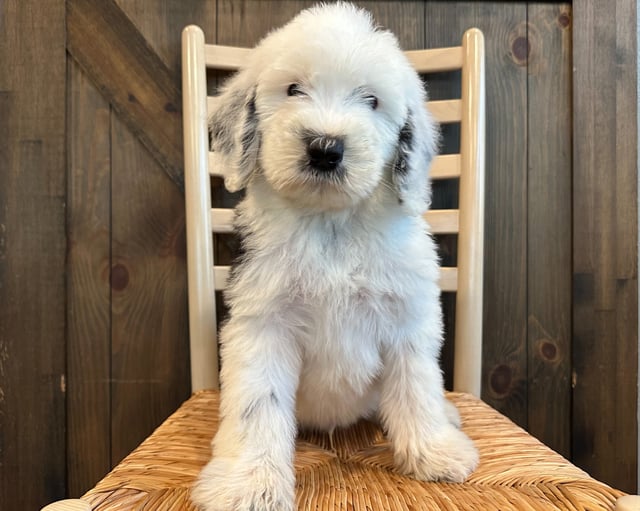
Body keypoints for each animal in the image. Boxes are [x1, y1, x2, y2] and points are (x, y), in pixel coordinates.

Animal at [192, 4, 478, 511]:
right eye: (293, 89)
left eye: (372, 100)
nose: (325, 149)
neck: (333, 227)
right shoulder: (263, 323)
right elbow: (258, 404)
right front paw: (249, 484)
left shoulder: (407, 316)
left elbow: (416, 386)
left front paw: (434, 453)